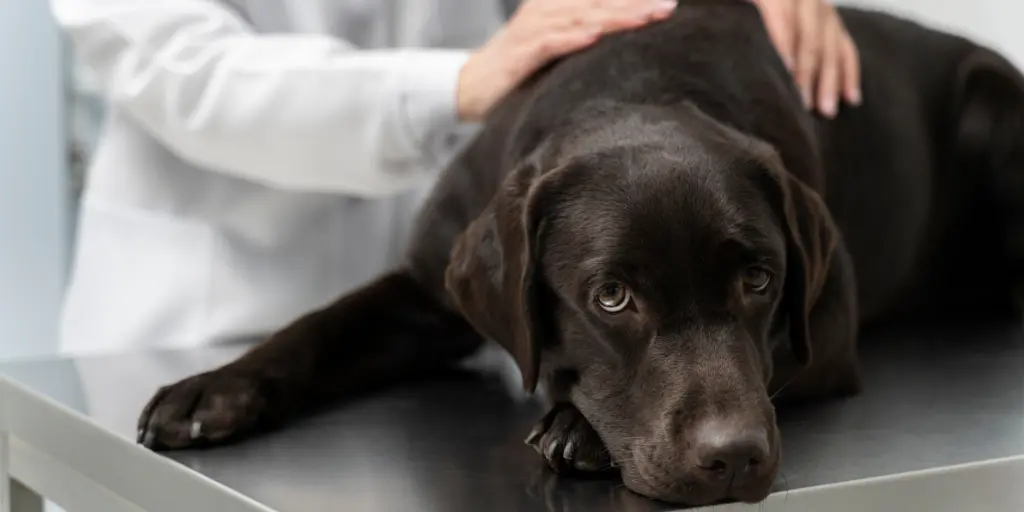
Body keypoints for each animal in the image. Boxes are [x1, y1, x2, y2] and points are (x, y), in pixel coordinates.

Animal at [134, 0, 1024, 503]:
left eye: (759, 281)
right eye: (612, 297)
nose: (733, 458)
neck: (638, 88)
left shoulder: (825, 331)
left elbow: (771, 362)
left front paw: (582, 431)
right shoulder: (428, 288)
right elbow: (318, 327)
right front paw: (214, 388)